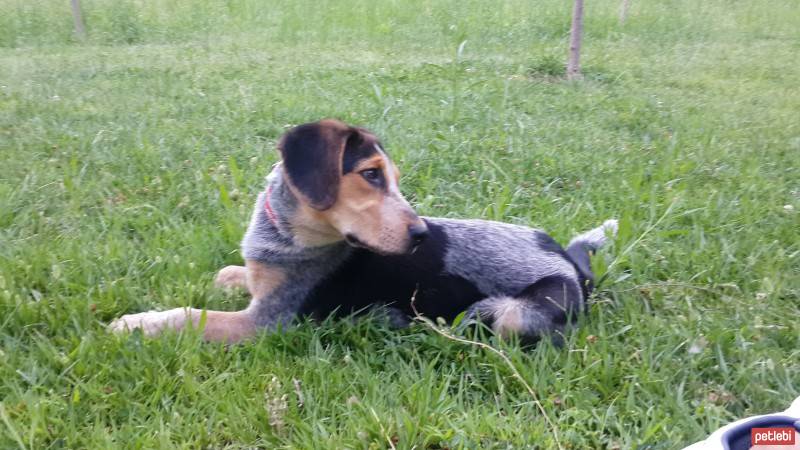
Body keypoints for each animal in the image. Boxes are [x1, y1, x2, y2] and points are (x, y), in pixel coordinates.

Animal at [109, 119, 616, 344]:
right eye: (371, 175)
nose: (422, 234)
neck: (288, 236)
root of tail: (571, 265)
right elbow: (229, 274)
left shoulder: (267, 322)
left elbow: (188, 315)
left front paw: (135, 322)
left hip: (510, 312)